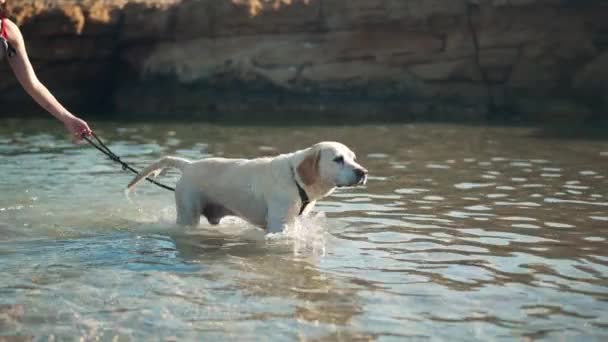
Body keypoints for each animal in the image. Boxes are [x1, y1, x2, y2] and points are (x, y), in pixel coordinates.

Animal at [126, 141, 368, 232]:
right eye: (338, 159)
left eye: (353, 158)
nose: (363, 172)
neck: (296, 178)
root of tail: (188, 165)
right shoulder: (278, 223)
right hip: (188, 213)